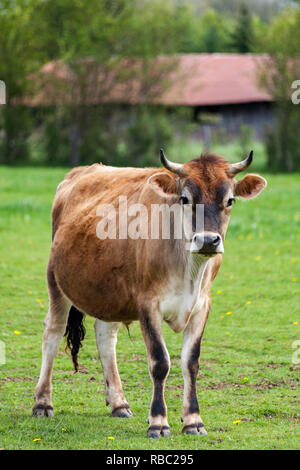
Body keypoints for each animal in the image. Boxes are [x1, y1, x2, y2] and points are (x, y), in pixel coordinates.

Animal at [33, 150, 268, 436]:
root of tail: (81, 172)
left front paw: (193, 420)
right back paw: (43, 403)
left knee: (105, 338)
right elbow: (160, 361)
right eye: (185, 198)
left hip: (108, 292)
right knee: (53, 333)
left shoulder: (202, 305)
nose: (208, 240)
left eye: (230, 200)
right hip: (56, 281)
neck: (187, 269)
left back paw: (119, 403)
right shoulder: (148, 305)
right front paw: (158, 421)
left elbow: (191, 362)